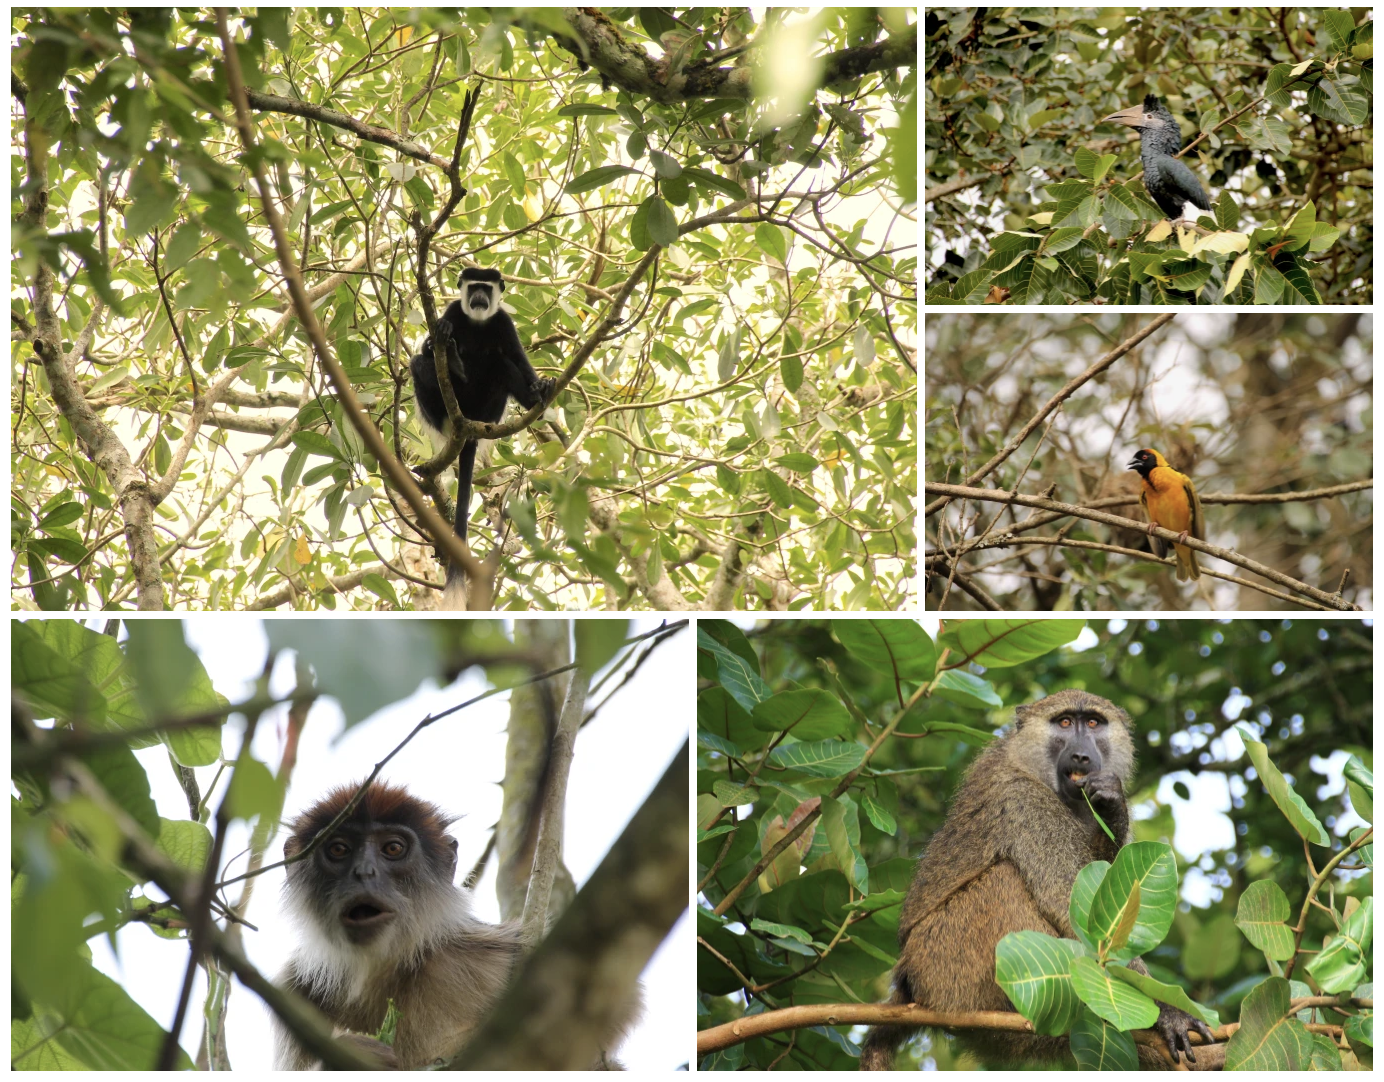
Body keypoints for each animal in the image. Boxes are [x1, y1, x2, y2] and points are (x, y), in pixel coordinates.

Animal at [271, 785, 636, 1073]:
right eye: (339, 849)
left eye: (392, 848)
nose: (364, 872)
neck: (380, 967)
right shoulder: (297, 988)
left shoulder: (484, 950)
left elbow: (618, 1007)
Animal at [404, 268, 550, 592]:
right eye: (473, 288)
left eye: (486, 288)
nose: (480, 297)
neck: (478, 321)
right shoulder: (453, 311)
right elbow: (427, 349)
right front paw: (437, 343)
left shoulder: (503, 322)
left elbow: (518, 358)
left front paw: (539, 387)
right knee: (419, 363)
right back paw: (454, 366)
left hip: (489, 411)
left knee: (500, 363)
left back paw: (533, 396)